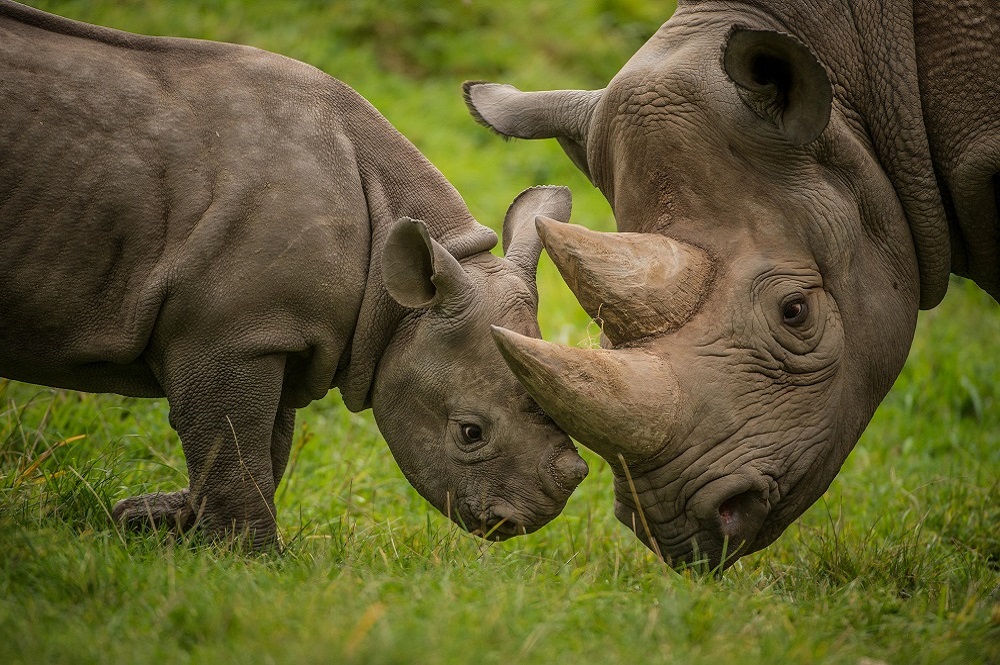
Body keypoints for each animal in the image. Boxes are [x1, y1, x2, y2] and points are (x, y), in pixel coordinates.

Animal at [0, 1, 584, 544]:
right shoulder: (228, 334)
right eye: (469, 433)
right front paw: (249, 557)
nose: (530, 517)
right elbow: (233, 444)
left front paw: (158, 525)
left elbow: (261, 448)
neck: (398, 297)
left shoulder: (270, 329)